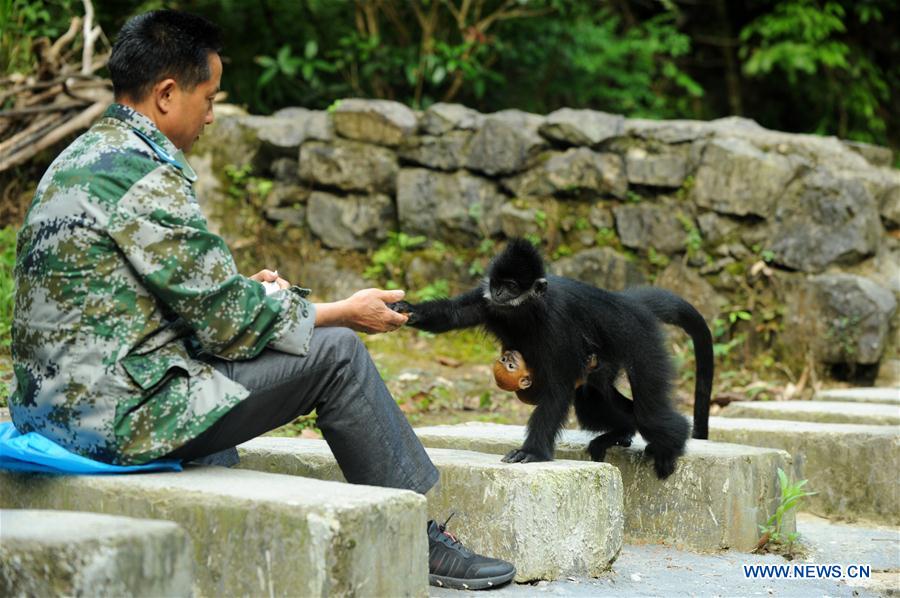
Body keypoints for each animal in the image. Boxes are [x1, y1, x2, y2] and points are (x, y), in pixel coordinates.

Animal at [390, 239, 712, 478]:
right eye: (497, 283)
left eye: (511, 286)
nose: (498, 291)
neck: (525, 312)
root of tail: (628, 304)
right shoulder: (488, 301)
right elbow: (454, 314)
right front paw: (407, 310)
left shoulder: (556, 324)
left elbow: (558, 388)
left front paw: (532, 452)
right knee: (593, 401)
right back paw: (621, 432)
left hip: (641, 340)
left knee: (649, 412)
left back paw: (672, 444)